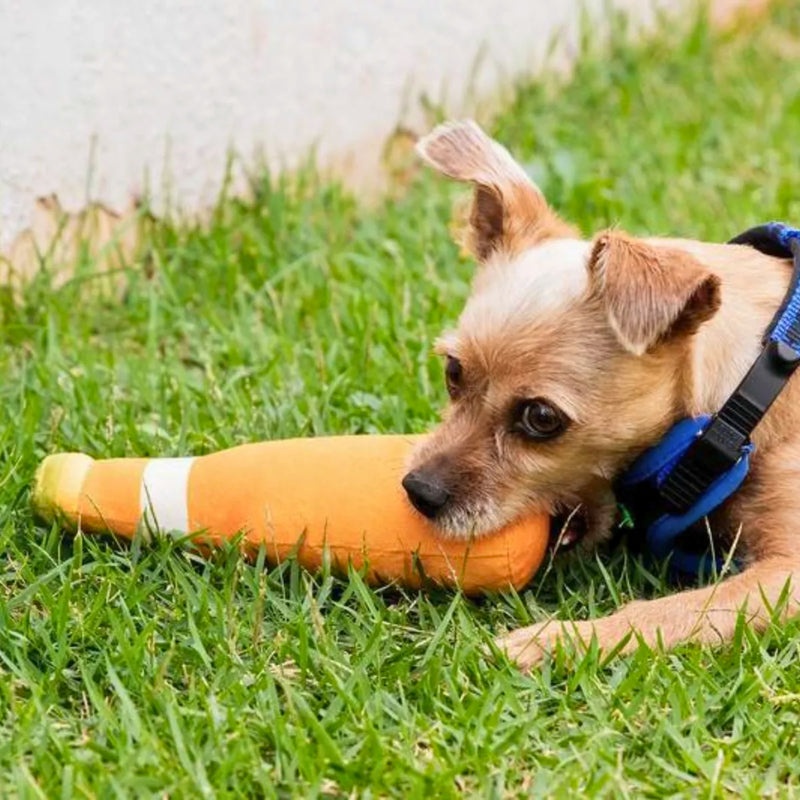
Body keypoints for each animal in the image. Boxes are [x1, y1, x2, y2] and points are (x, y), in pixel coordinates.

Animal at [404, 119, 800, 668]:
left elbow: (662, 613)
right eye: (452, 372)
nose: (417, 491)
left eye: (542, 418)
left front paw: (550, 640)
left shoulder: (785, 575)